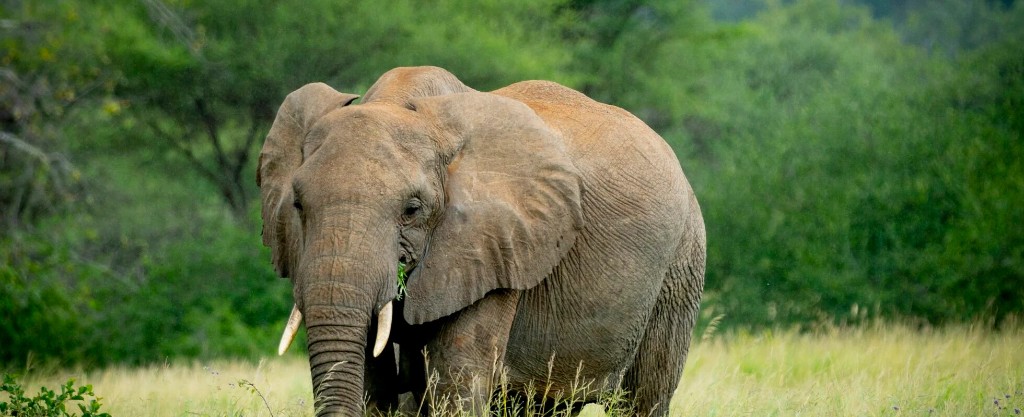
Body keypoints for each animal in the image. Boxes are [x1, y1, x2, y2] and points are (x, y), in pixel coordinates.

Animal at [257, 66, 705, 416]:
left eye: (412, 209)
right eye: (297, 205)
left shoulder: (496, 246)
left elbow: (456, 382)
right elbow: (371, 384)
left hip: (679, 269)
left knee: (644, 398)